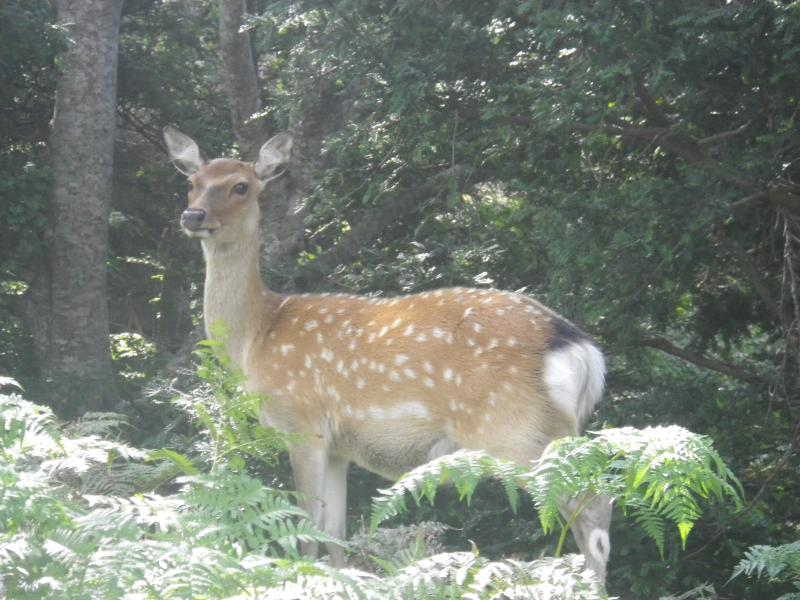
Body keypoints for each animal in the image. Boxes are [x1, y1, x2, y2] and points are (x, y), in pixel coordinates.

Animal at [162, 125, 612, 580]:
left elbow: (307, 530)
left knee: (591, 506)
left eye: (241, 186)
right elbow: (335, 532)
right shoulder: (339, 447)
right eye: (192, 183)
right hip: (554, 432)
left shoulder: (302, 423)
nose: (193, 216)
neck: (256, 336)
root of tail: (578, 348)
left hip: (513, 429)